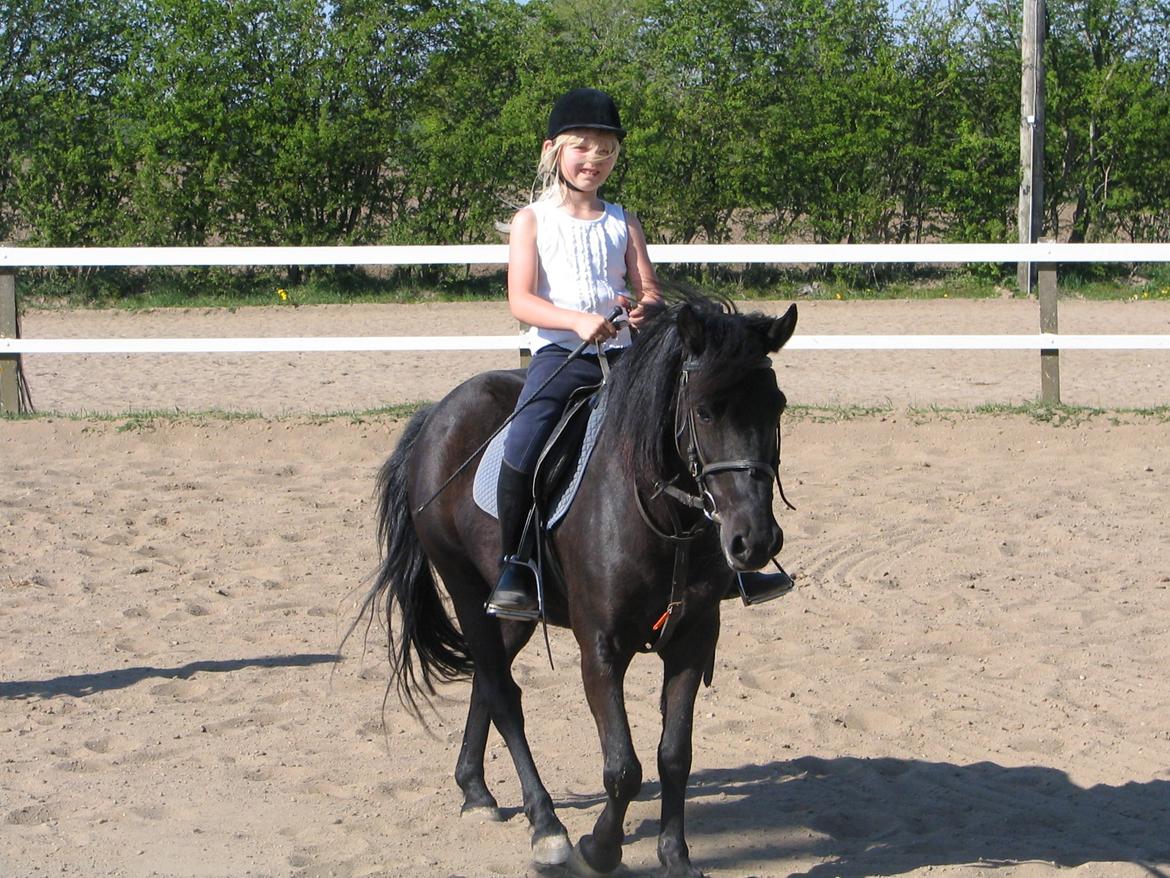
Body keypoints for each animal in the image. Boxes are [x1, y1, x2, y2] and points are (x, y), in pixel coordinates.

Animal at [356, 292, 798, 877]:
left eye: (777, 407)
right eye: (704, 410)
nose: (755, 541)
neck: (658, 513)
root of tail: (438, 413)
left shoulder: (693, 639)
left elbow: (674, 756)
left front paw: (675, 855)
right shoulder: (601, 648)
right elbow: (624, 768)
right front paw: (599, 849)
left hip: (512, 613)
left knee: (487, 681)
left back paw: (475, 789)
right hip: (467, 591)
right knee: (503, 695)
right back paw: (547, 826)